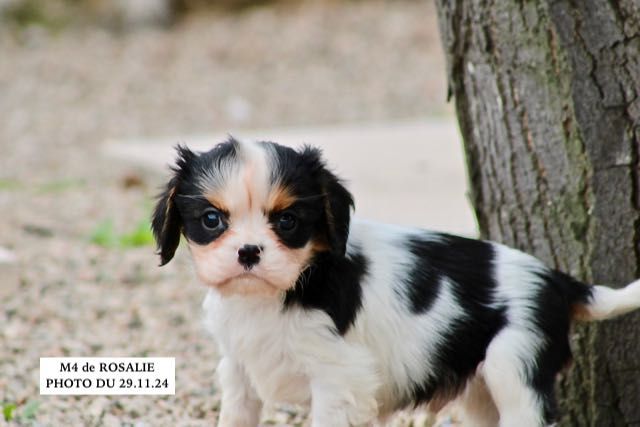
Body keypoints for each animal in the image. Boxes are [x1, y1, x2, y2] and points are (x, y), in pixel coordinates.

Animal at [154, 139, 640, 426]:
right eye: (212, 220)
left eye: (288, 222)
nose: (249, 252)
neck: (279, 293)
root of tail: (557, 279)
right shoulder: (239, 371)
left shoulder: (338, 381)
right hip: (482, 389)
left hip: (514, 368)